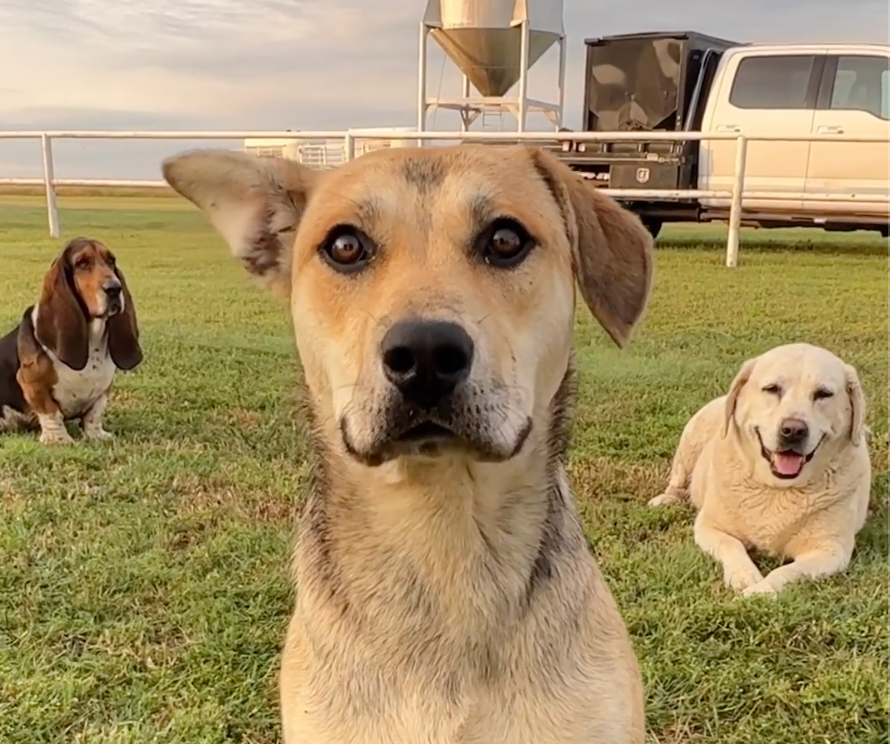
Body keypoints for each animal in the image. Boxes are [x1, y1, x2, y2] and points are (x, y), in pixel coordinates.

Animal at [644, 344, 868, 600]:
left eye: (823, 394)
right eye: (772, 389)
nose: (793, 430)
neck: (777, 487)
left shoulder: (831, 550)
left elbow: (788, 571)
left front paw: (760, 590)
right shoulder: (709, 527)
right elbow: (732, 544)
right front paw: (744, 575)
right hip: (690, 439)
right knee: (678, 479)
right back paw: (665, 499)